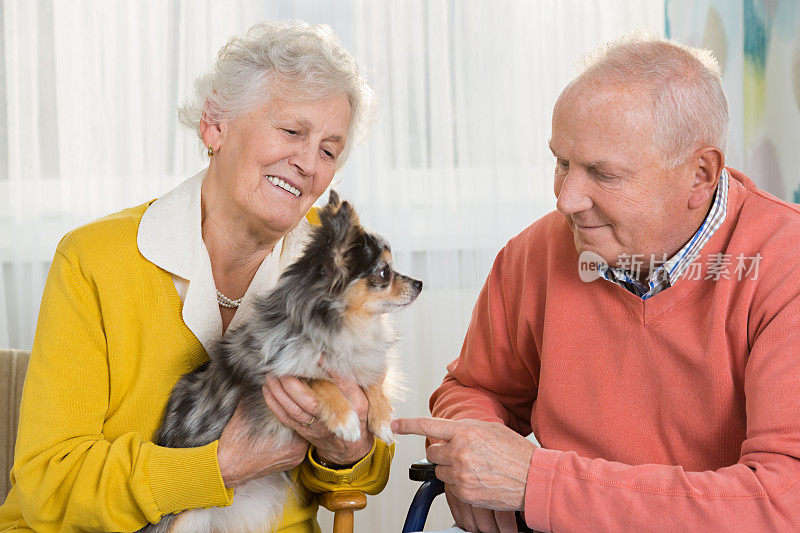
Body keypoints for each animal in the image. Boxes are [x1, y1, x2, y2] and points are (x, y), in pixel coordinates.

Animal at [140, 192, 422, 532]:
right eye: (384, 274)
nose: (419, 283)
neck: (341, 325)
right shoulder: (271, 379)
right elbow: (319, 380)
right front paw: (346, 420)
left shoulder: (360, 361)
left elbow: (370, 382)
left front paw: (381, 420)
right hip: (186, 519)